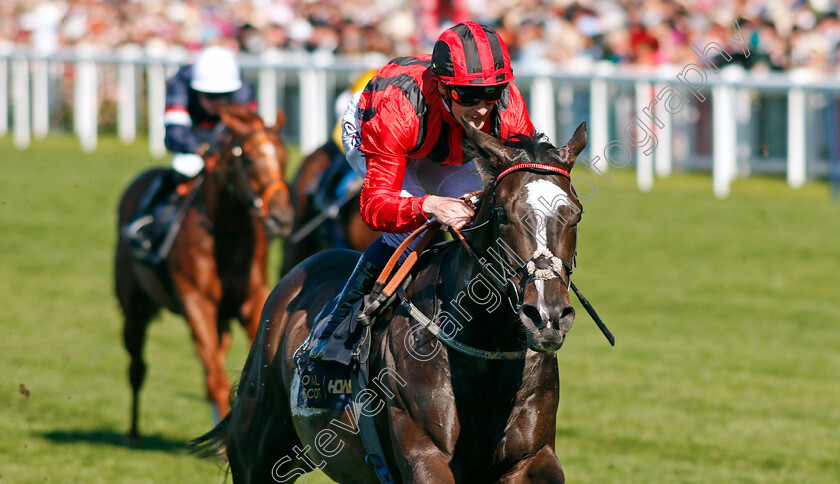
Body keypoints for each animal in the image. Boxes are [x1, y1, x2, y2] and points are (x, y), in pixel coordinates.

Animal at [115, 103, 292, 442]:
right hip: (134, 309)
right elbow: (217, 380)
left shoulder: (252, 301)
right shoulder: (197, 304)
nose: (282, 217)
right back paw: (131, 431)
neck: (225, 237)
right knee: (137, 366)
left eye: (284, 156)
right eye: (248, 159)